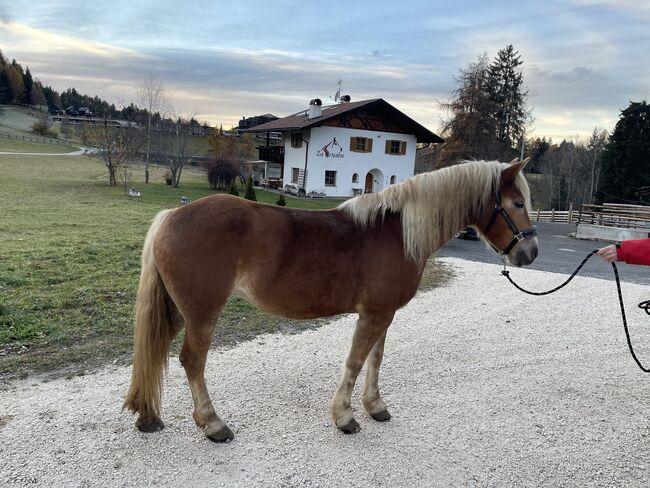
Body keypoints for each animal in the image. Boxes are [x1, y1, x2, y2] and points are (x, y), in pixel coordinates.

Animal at [123, 157, 536, 442]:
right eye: (517, 203)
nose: (530, 253)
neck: (397, 233)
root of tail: (171, 215)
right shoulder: (373, 314)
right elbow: (355, 362)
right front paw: (345, 417)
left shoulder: (384, 313)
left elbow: (375, 360)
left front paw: (375, 407)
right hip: (201, 313)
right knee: (191, 361)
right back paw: (213, 424)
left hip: (176, 310)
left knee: (156, 352)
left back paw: (148, 417)